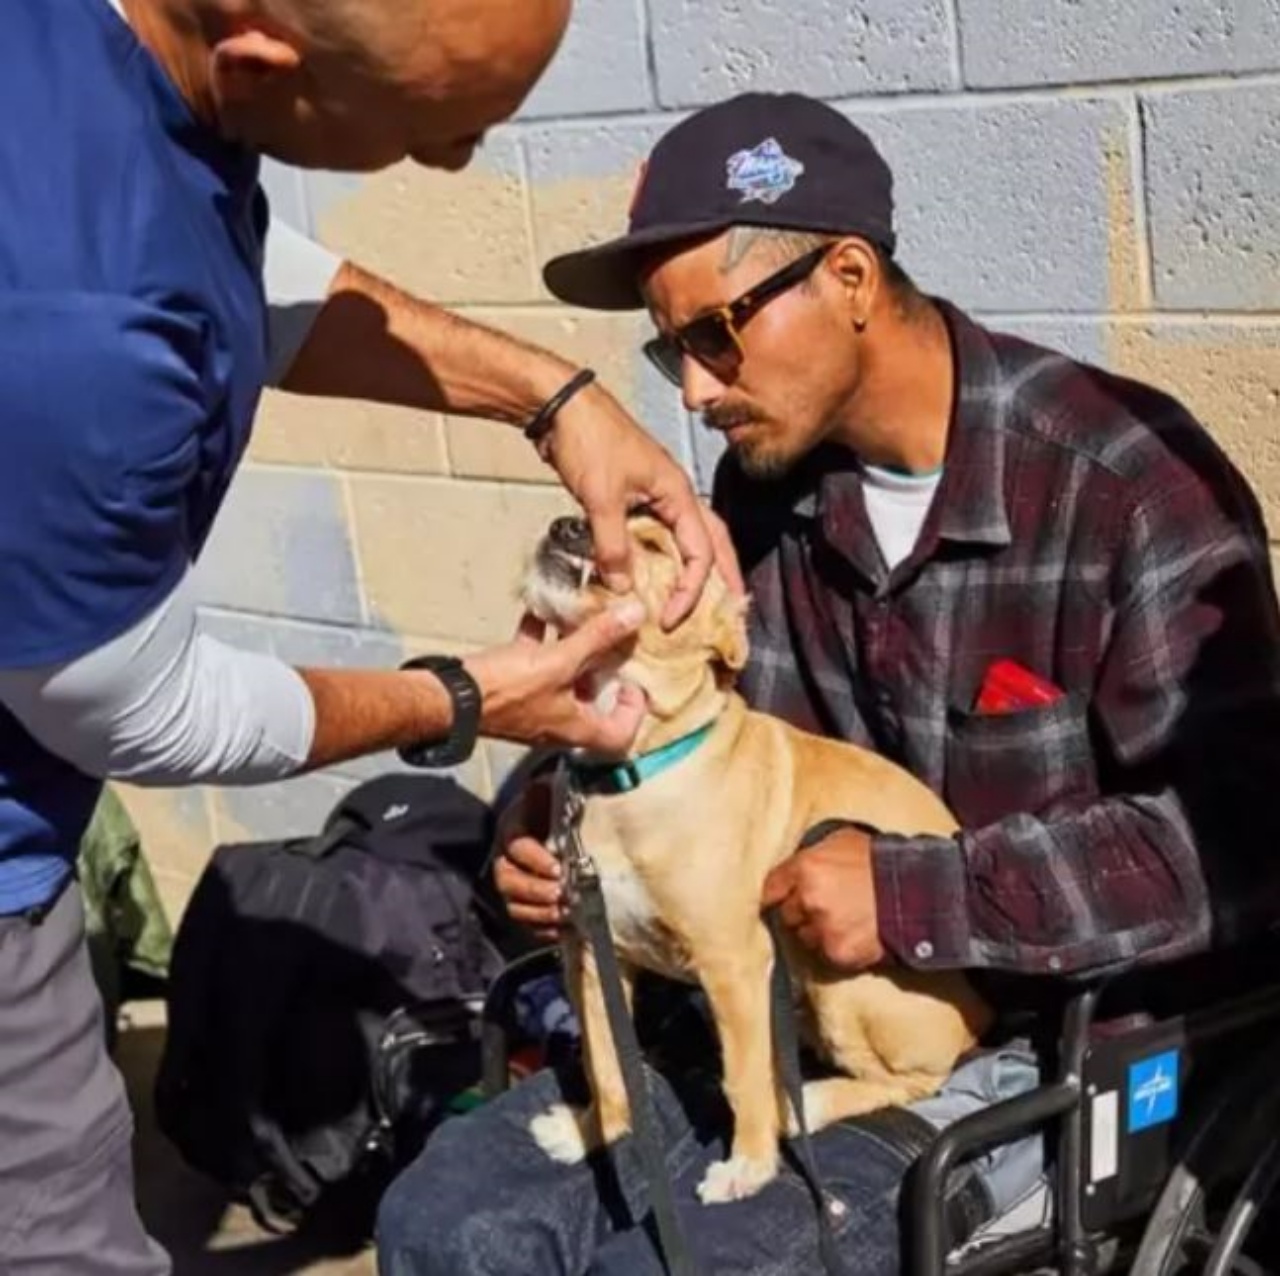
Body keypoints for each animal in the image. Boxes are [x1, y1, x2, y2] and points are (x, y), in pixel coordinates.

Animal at [519, 509, 988, 1203]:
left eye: (655, 544)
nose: (568, 523)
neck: (628, 773)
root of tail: (986, 1015)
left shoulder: (734, 964)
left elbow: (740, 1079)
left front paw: (749, 1166)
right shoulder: (592, 953)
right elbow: (606, 1062)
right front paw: (590, 1133)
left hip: (842, 980)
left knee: (913, 1083)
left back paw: (806, 1105)